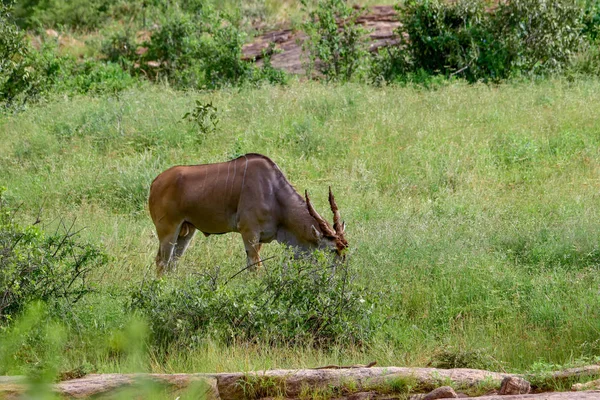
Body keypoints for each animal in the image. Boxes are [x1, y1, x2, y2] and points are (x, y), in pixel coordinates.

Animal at [148, 153, 350, 276]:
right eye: (333, 250)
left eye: (345, 250)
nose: (342, 275)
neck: (274, 194)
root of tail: (155, 182)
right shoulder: (249, 232)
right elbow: (255, 268)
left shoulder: (259, 239)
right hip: (168, 230)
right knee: (161, 262)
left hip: (187, 231)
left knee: (172, 263)